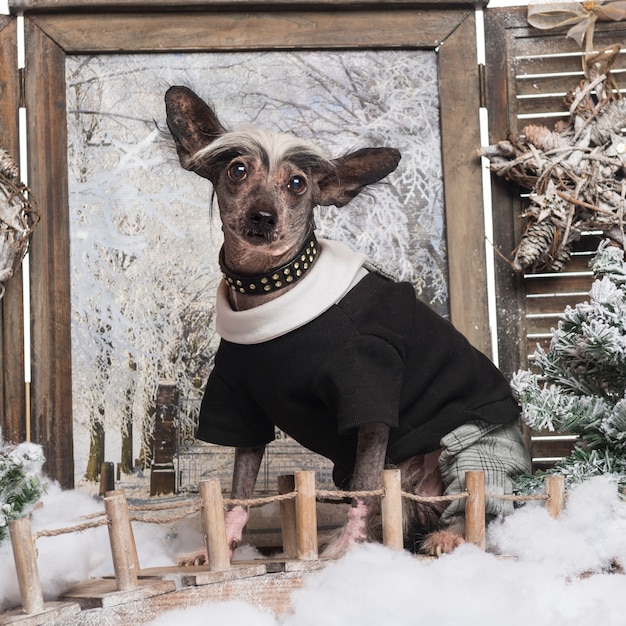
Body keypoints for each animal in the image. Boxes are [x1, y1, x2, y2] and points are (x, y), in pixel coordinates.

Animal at [163, 84, 528, 560]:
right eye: (237, 170)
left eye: (297, 184)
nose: (263, 216)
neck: (273, 289)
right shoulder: (243, 404)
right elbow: (240, 490)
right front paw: (221, 546)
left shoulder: (369, 394)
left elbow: (366, 489)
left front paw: (349, 550)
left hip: (467, 445)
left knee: (479, 499)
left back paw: (447, 535)